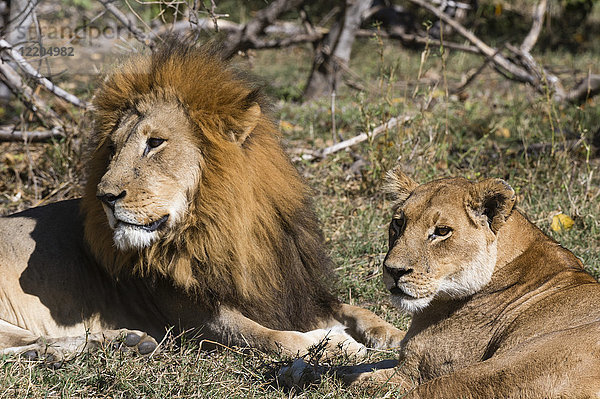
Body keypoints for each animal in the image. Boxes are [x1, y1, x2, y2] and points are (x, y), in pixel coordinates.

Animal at [0, 41, 404, 362]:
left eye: (154, 143)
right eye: (113, 149)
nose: (105, 197)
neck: (230, 229)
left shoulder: (291, 292)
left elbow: (360, 311)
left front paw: (398, 337)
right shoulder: (198, 320)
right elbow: (274, 337)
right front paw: (336, 344)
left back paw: (124, 344)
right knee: (25, 343)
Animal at [284, 168, 600, 396]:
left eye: (441, 231)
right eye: (398, 222)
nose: (393, 270)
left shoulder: (414, 372)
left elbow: (346, 377)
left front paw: (302, 374)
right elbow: (362, 364)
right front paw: (294, 368)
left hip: (505, 366)